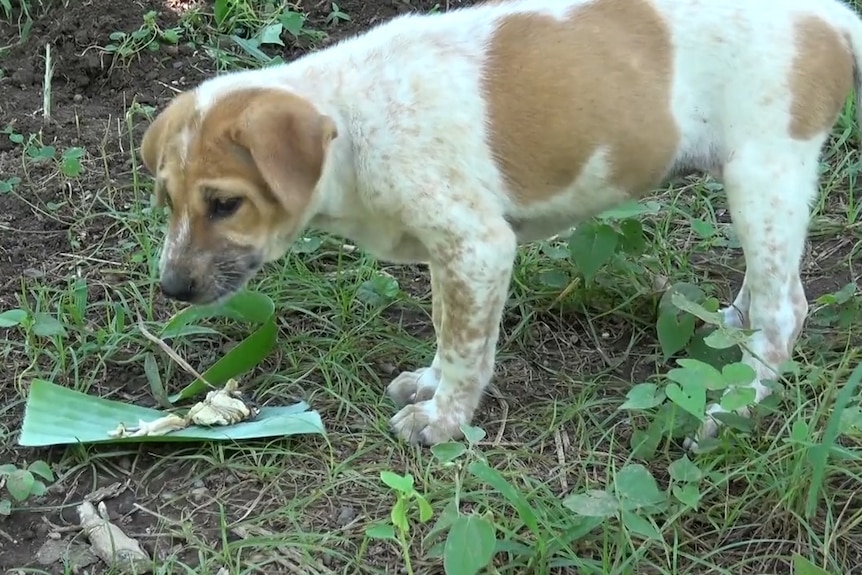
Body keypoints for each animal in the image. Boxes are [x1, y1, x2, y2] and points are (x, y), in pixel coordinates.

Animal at [140, 0, 862, 450]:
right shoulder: (450, 256)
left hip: (764, 174)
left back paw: (734, 407)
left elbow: (466, 348)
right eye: (167, 199)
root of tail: (831, 18)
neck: (354, 122)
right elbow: (447, 330)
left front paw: (442, 419)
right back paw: (730, 330)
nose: (170, 290)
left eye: (224, 204)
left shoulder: (476, 246)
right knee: (766, 292)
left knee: (786, 309)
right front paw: (430, 383)